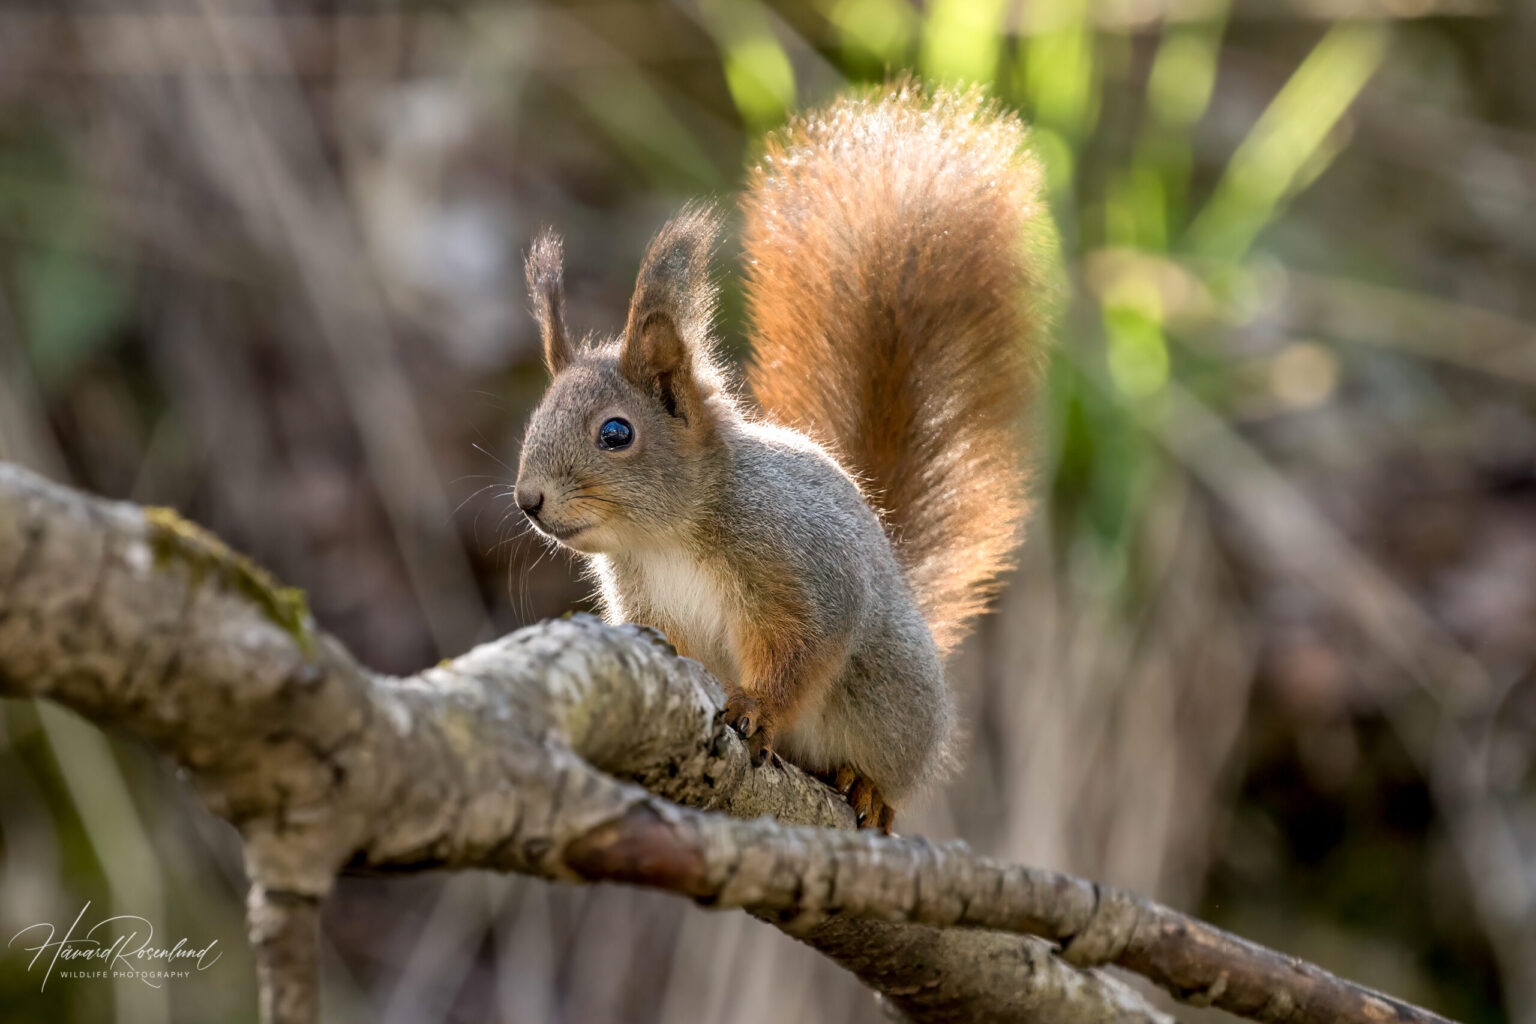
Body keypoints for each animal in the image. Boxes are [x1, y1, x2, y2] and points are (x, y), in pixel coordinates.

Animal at [513, 82, 1053, 832]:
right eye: (536, 417)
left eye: (616, 434)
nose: (528, 499)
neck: (667, 535)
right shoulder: (651, 608)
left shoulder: (800, 566)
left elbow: (804, 649)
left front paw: (758, 709)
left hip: (894, 702)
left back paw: (870, 789)